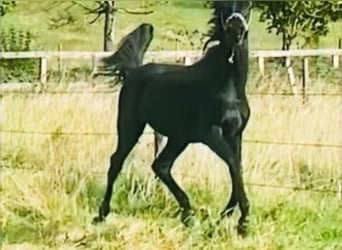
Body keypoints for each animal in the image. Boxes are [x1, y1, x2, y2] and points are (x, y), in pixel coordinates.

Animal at [95, 1, 252, 234]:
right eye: (224, 7)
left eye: (247, 6)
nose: (236, 30)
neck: (228, 86)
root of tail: (134, 72)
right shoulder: (211, 133)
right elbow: (233, 163)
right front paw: (243, 221)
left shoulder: (235, 134)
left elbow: (237, 167)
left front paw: (226, 217)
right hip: (131, 126)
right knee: (117, 161)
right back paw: (102, 214)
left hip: (179, 138)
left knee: (161, 166)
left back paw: (188, 215)